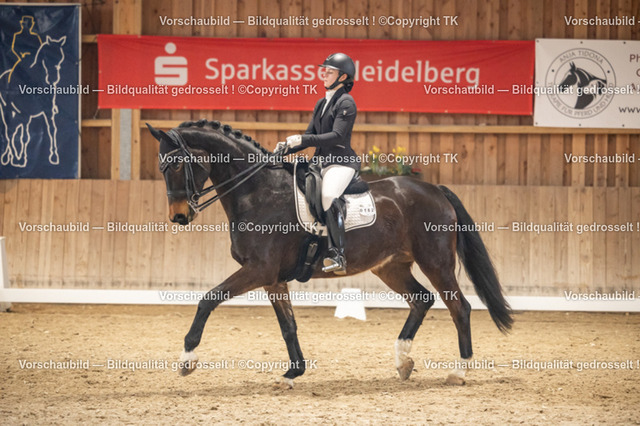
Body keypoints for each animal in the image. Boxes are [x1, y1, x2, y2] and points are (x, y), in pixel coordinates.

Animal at [0, 35, 66, 167]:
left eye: (60, 57)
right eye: (46, 56)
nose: (53, 79)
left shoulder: (46, 111)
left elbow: (52, 130)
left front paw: (54, 156)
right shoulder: (25, 113)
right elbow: (24, 137)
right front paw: (20, 159)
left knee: (12, 131)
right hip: (8, 112)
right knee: (8, 132)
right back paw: (9, 157)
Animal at [147, 119, 513, 388]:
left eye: (176, 164)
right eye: (161, 167)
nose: (179, 217)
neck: (258, 192)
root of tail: (435, 189)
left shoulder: (259, 270)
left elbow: (207, 299)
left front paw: (187, 359)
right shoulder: (272, 279)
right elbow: (288, 325)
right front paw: (293, 373)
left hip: (436, 262)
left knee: (459, 307)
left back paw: (459, 371)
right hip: (391, 267)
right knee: (421, 300)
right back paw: (403, 361)